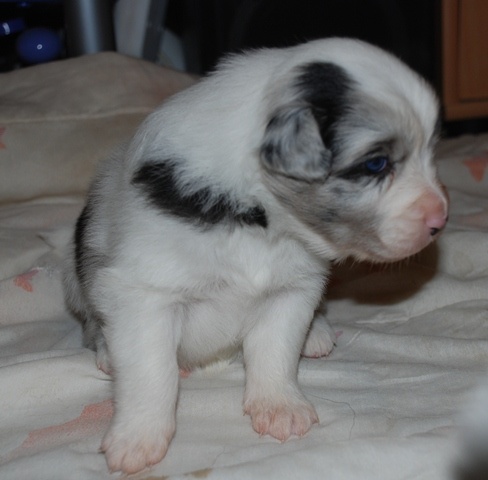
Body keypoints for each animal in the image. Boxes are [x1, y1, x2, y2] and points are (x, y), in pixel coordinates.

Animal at [63, 38, 448, 474]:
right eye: (376, 163)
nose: (441, 218)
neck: (261, 223)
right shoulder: (144, 294)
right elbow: (152, 370)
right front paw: (137, 439)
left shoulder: (292, 291)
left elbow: (275, 350)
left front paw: (281, 407)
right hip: (74, 275)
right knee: (93, 323)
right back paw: (105, 351)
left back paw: (317, 332)